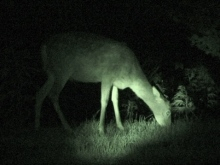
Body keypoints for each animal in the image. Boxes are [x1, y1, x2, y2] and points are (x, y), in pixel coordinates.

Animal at [35, 31, 171, 133]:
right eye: (168, 112)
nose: (168, 127)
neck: (130, 76)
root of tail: (44, 47)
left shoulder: (116, 82)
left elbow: (115, 100)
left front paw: (121, 127)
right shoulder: (107, 77)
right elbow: (104, 101)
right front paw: (101, 130)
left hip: (52, 73)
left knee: (40, 93)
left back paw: (37, 126)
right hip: (62, 70)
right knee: (53, 94)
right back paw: (68, 127)